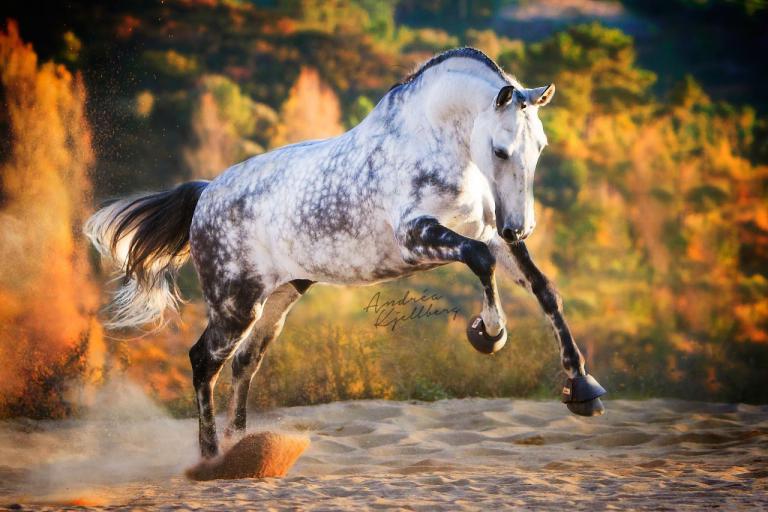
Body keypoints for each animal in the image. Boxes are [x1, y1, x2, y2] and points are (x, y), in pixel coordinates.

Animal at [85, 47, 606, 459]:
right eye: (500, 150)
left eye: (540, 147)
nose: (520, 227)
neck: (434, 143)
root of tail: (207, 191)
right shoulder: (417, 237)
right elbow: (479, 259)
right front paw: (489, 334)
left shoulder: (488, 234)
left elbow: (544, 289)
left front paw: (583, 389)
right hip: (235, 302)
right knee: (202, 361)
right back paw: (211, 458)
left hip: (279, 297)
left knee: (243, 362)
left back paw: (243, 449)